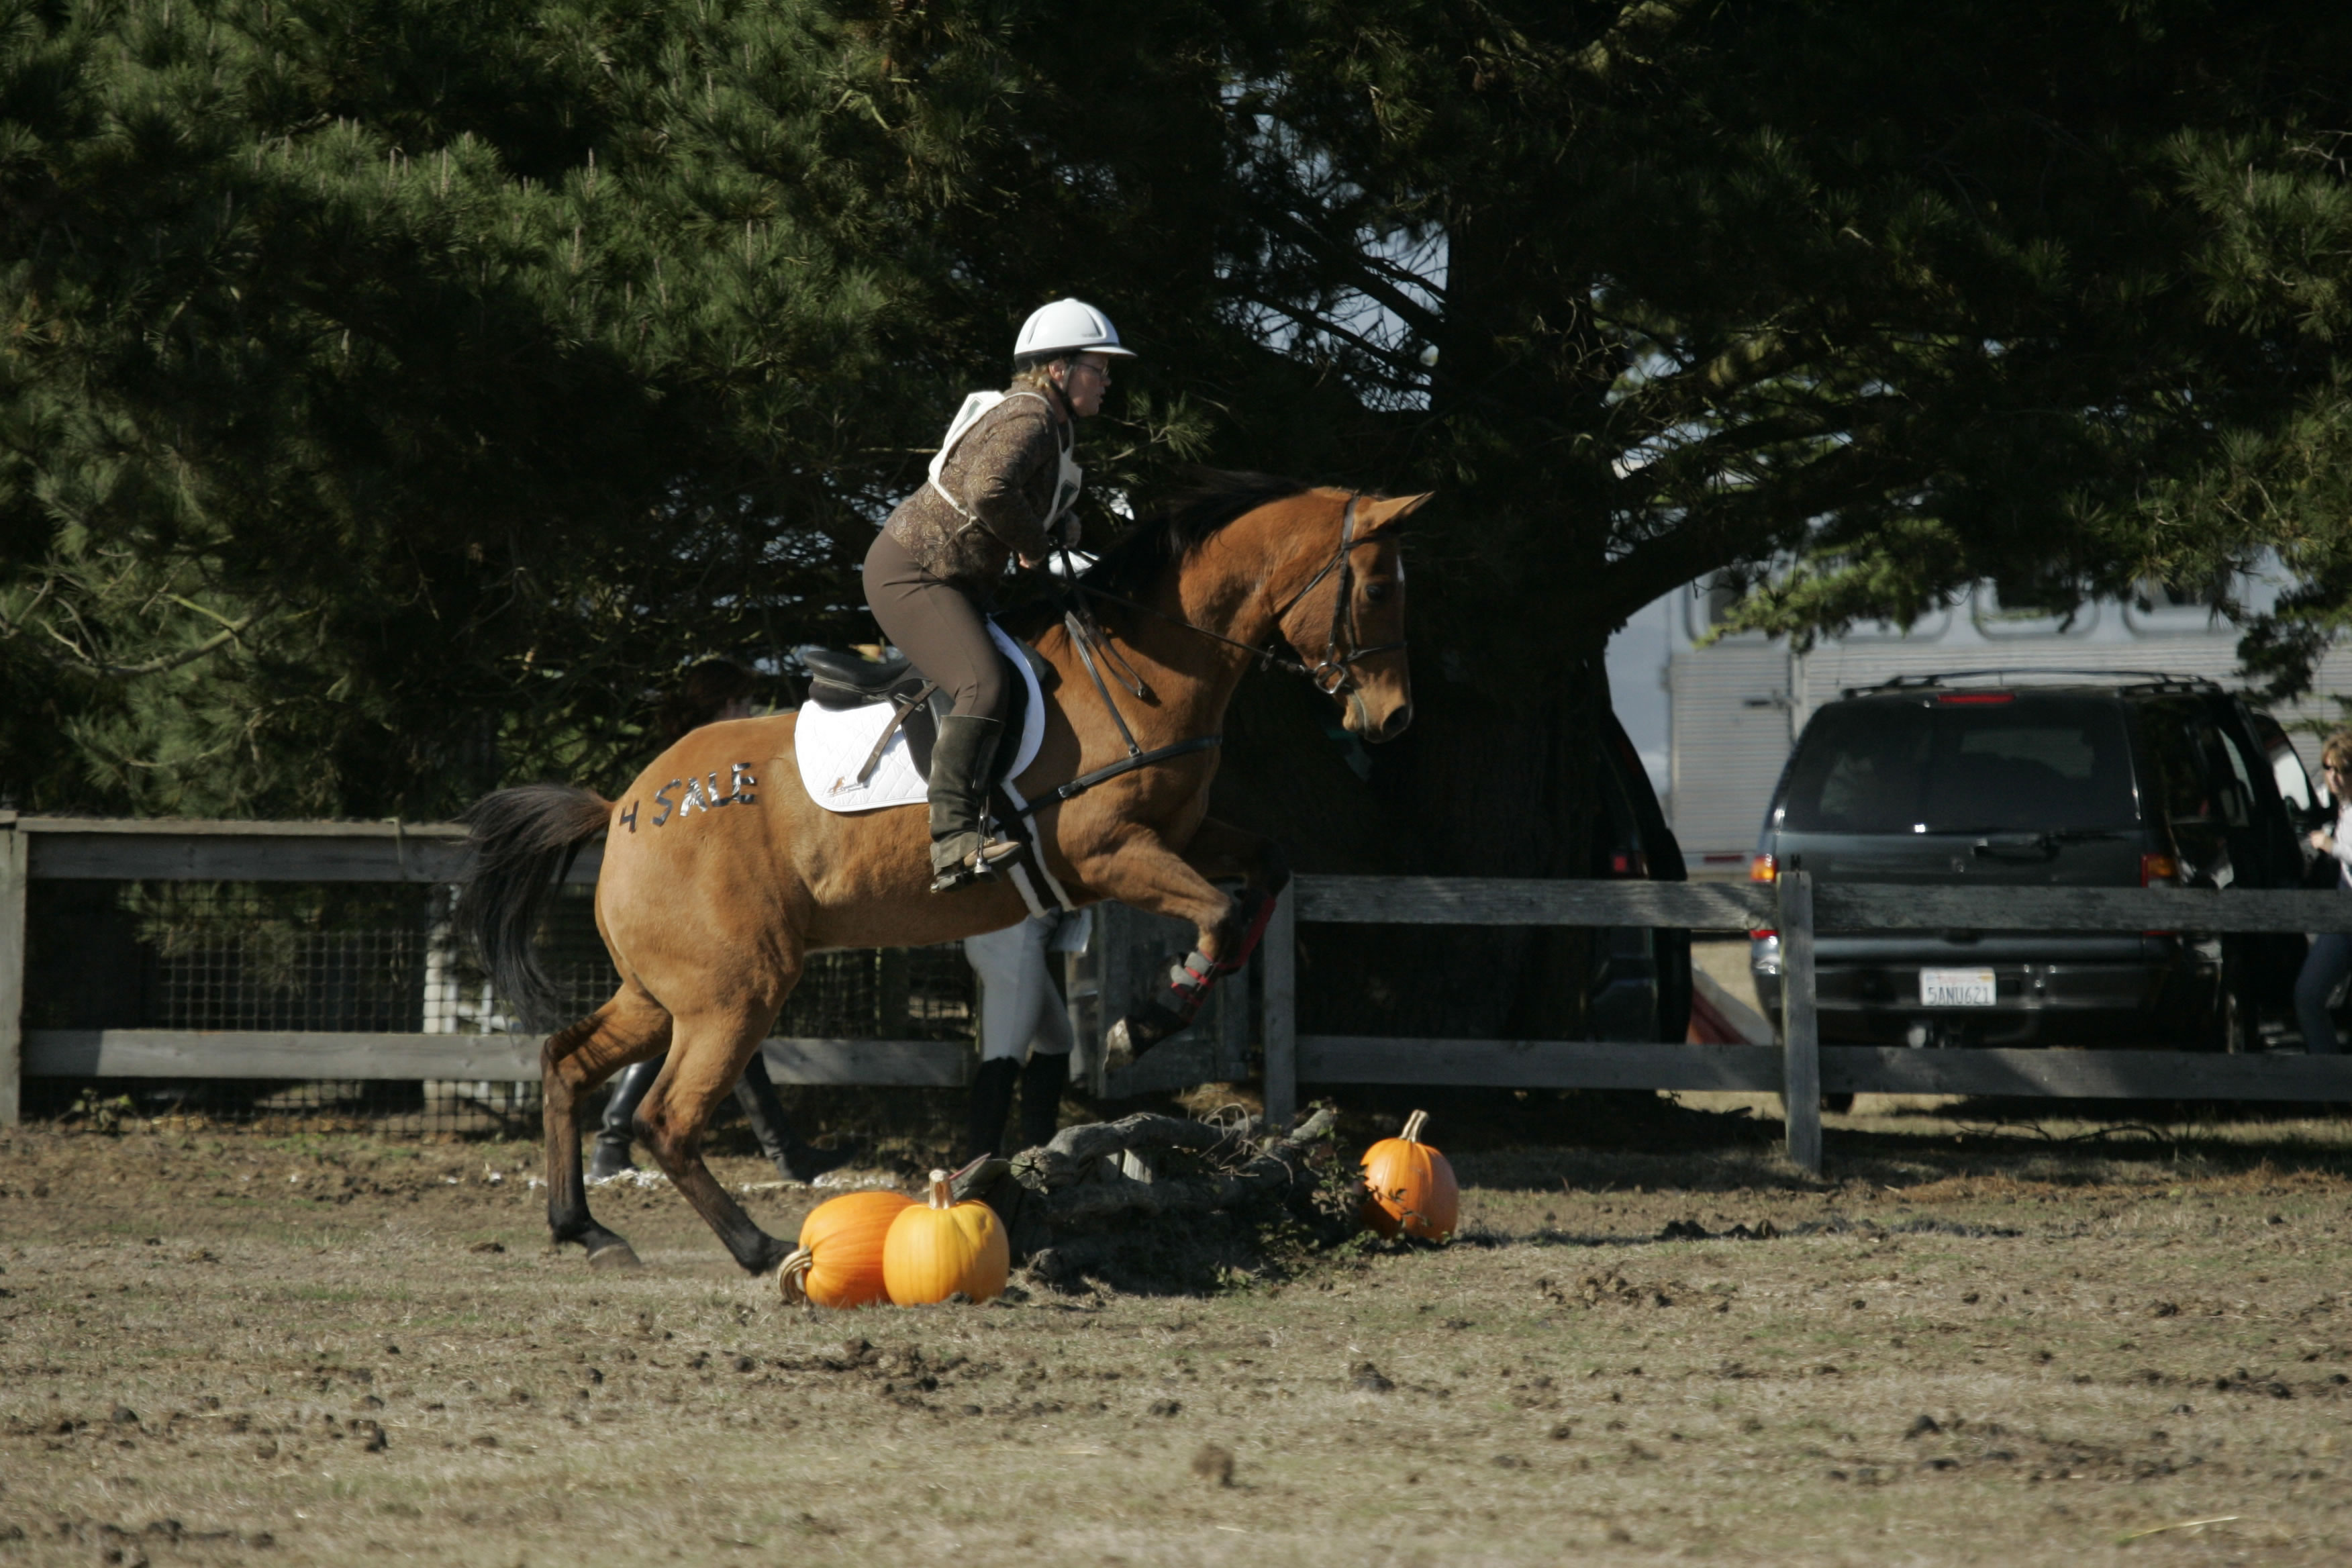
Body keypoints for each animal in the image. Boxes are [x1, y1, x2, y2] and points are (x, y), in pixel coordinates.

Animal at [457, 474, 1425, 1274]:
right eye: (1379, 588)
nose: (1392, 719)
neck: (1143, 671)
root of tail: (624, 802)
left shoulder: (1184, 835)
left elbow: (1266, 874)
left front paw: (1157, 1012)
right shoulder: (1112, 852)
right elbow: (1218, 914)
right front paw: (1141, 1025)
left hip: (664, 994)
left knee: (566, 1062)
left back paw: (586, 1229)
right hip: (735, 990)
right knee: (670, 1117)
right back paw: (761, 1248)